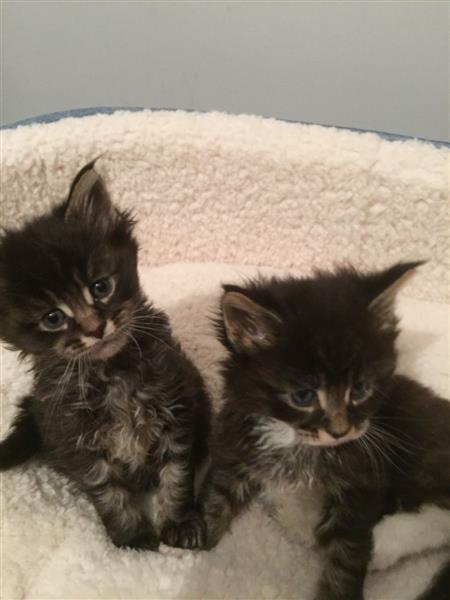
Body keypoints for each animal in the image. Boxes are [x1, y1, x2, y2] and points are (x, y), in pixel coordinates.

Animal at [0, 162, 211, 552]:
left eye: (101, 287)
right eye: (52, 318)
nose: (96, 328)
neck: (112, 373)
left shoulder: (177, 414)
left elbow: (176, 477)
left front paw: (178, 523)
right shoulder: (76, 439)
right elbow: (107, 492)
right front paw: (131, 539)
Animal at [201, 264, 450, 600]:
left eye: (360, 388)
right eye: (303, 396)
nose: (340, 431)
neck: (294, 440)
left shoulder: (362, 480)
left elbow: (346, 553)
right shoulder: (239, 444)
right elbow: (219, 495)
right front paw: (190, 540)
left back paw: (386, 542)